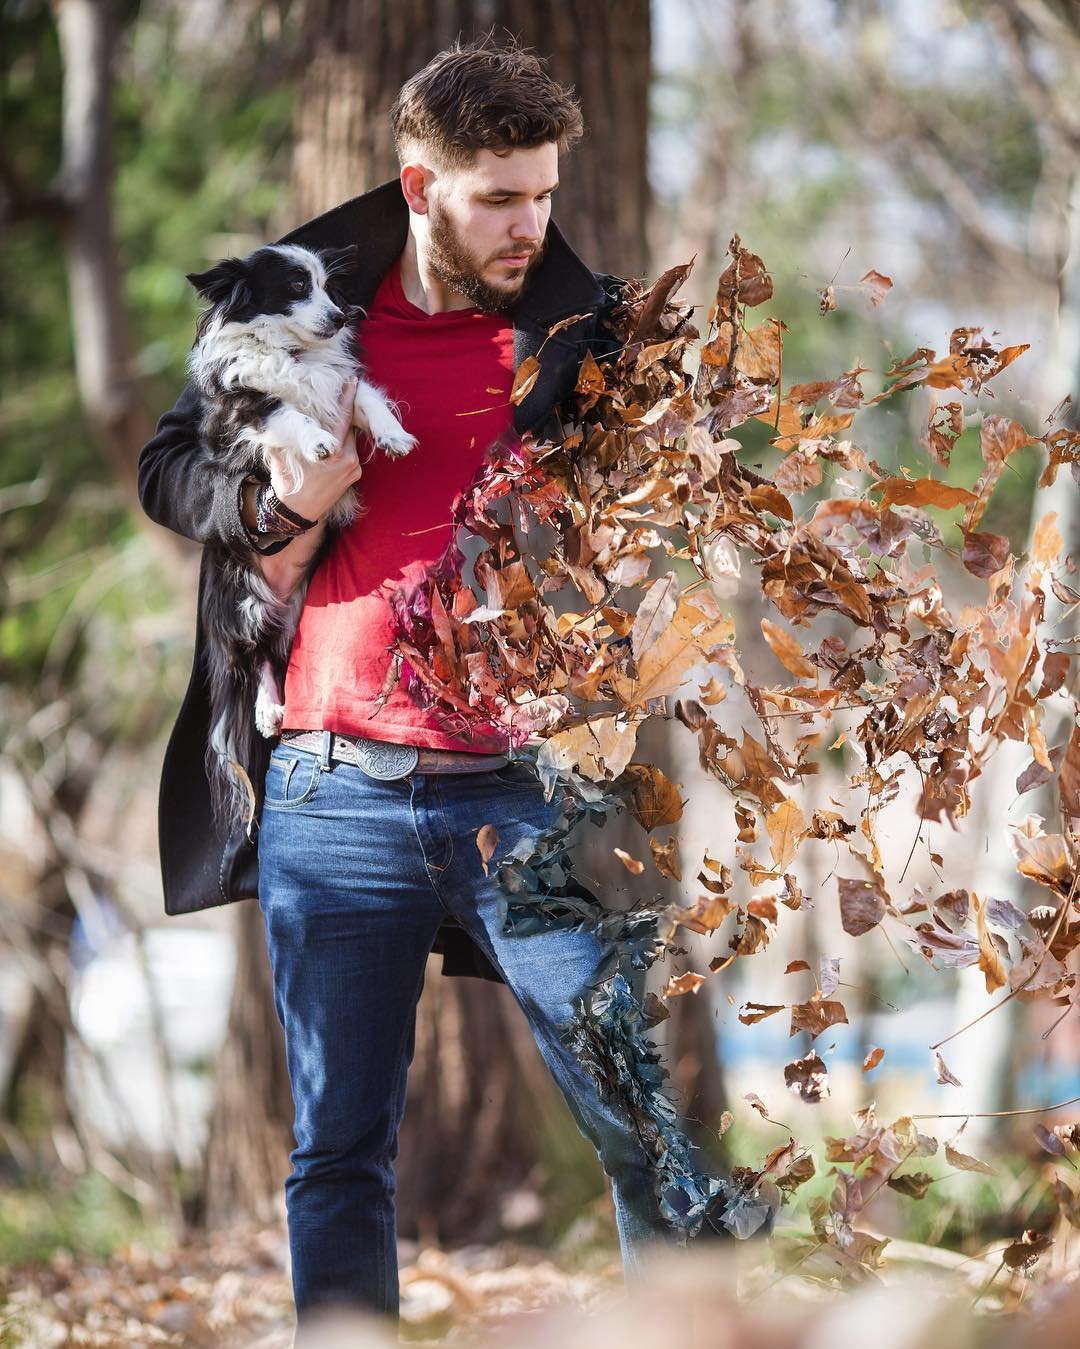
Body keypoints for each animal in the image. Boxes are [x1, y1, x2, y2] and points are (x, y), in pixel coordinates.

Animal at [186, 242, 412, 830]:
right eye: (294, 287)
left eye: (328, 288)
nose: (339, 318)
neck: (294, 353)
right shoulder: (247, 407)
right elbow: (286, 416)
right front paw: (315, 444)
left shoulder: (342, 384)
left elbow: (368, 399)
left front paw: (394, 435)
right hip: (240, 599)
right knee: (250, 658)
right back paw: (267, 709)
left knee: (271, 651)